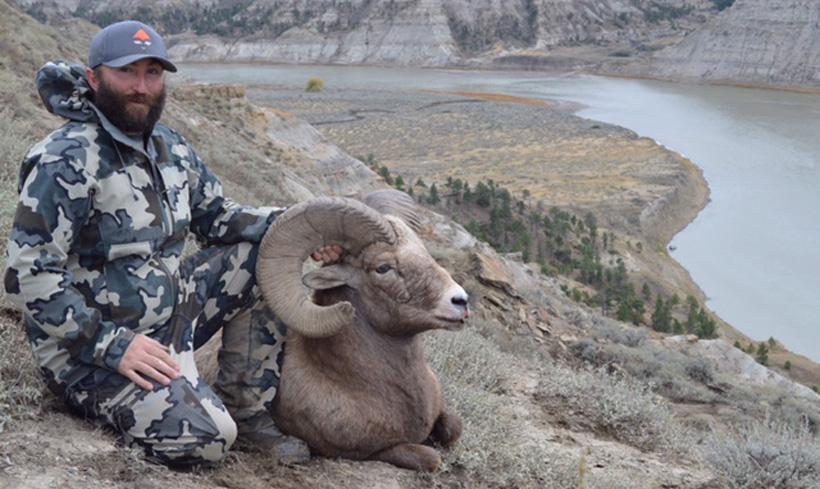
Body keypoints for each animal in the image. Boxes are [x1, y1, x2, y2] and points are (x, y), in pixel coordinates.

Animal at [204, 190, 469, 471]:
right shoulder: (371, 451)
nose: (460, 301)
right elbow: (431, 458)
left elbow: (454, 427)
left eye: (424, 252)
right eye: (383, 268)